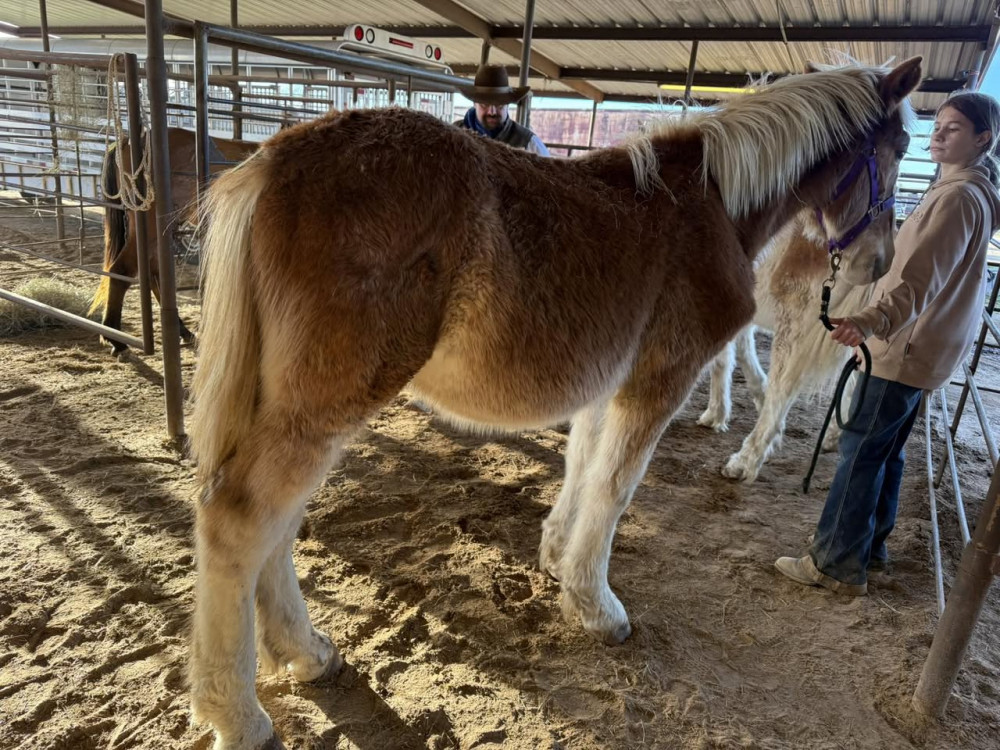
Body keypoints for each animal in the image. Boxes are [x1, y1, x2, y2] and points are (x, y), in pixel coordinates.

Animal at [696, 205, 901, 481]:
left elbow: (723, 360)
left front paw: (716, 413)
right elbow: (739, 351)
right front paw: (742, 401)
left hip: (795, 324)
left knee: (783, 390)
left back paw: (744, 462)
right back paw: (833, 437)